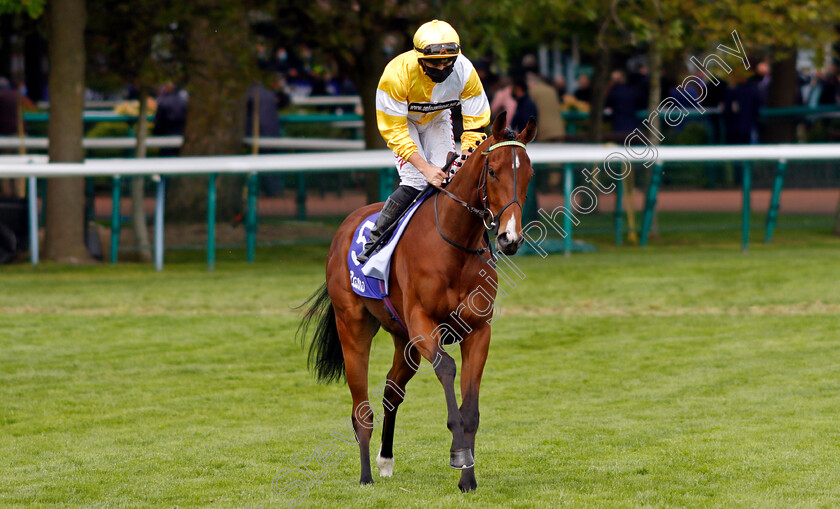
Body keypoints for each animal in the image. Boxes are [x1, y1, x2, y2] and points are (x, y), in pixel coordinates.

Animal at [300, 111, 540, 492]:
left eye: (529, 173)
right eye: (493, 171)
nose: (509, 238)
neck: (455, 244)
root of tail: (345, 227)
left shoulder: (478, 331)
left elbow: (471, 409)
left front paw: (468, 477)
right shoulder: (423, 325)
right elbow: (447, 369)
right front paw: (459, 453)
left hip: (403, 340)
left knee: (391, 391)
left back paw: (385, 461)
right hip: (353, 326)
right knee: (361, 409)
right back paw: (366, 475)